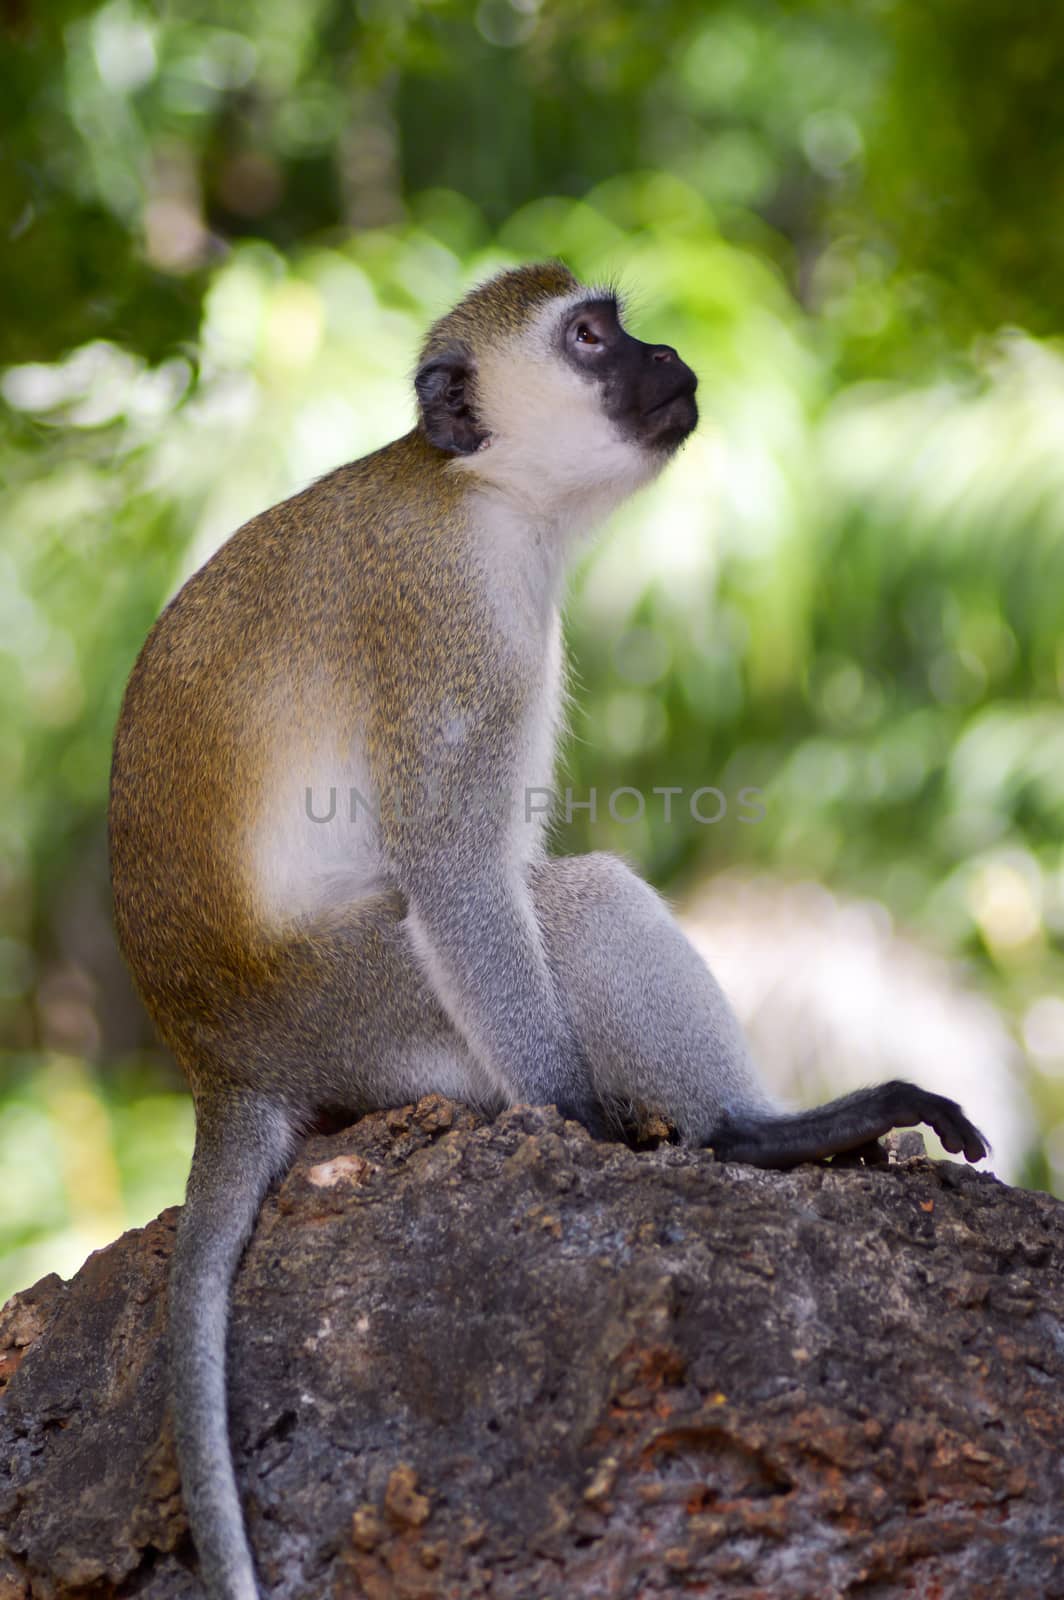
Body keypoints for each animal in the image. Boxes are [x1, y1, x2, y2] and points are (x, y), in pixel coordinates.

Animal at [109, 265, 985, 1600]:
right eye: (586, 337)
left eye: (619, 322)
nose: (663, 353)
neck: (482, 492)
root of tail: (221, 1057)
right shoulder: (455, 619)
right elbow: (462, 872)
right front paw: (582, 1122)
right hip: (367, 1010)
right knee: (574, 908)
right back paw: (752, 1136)